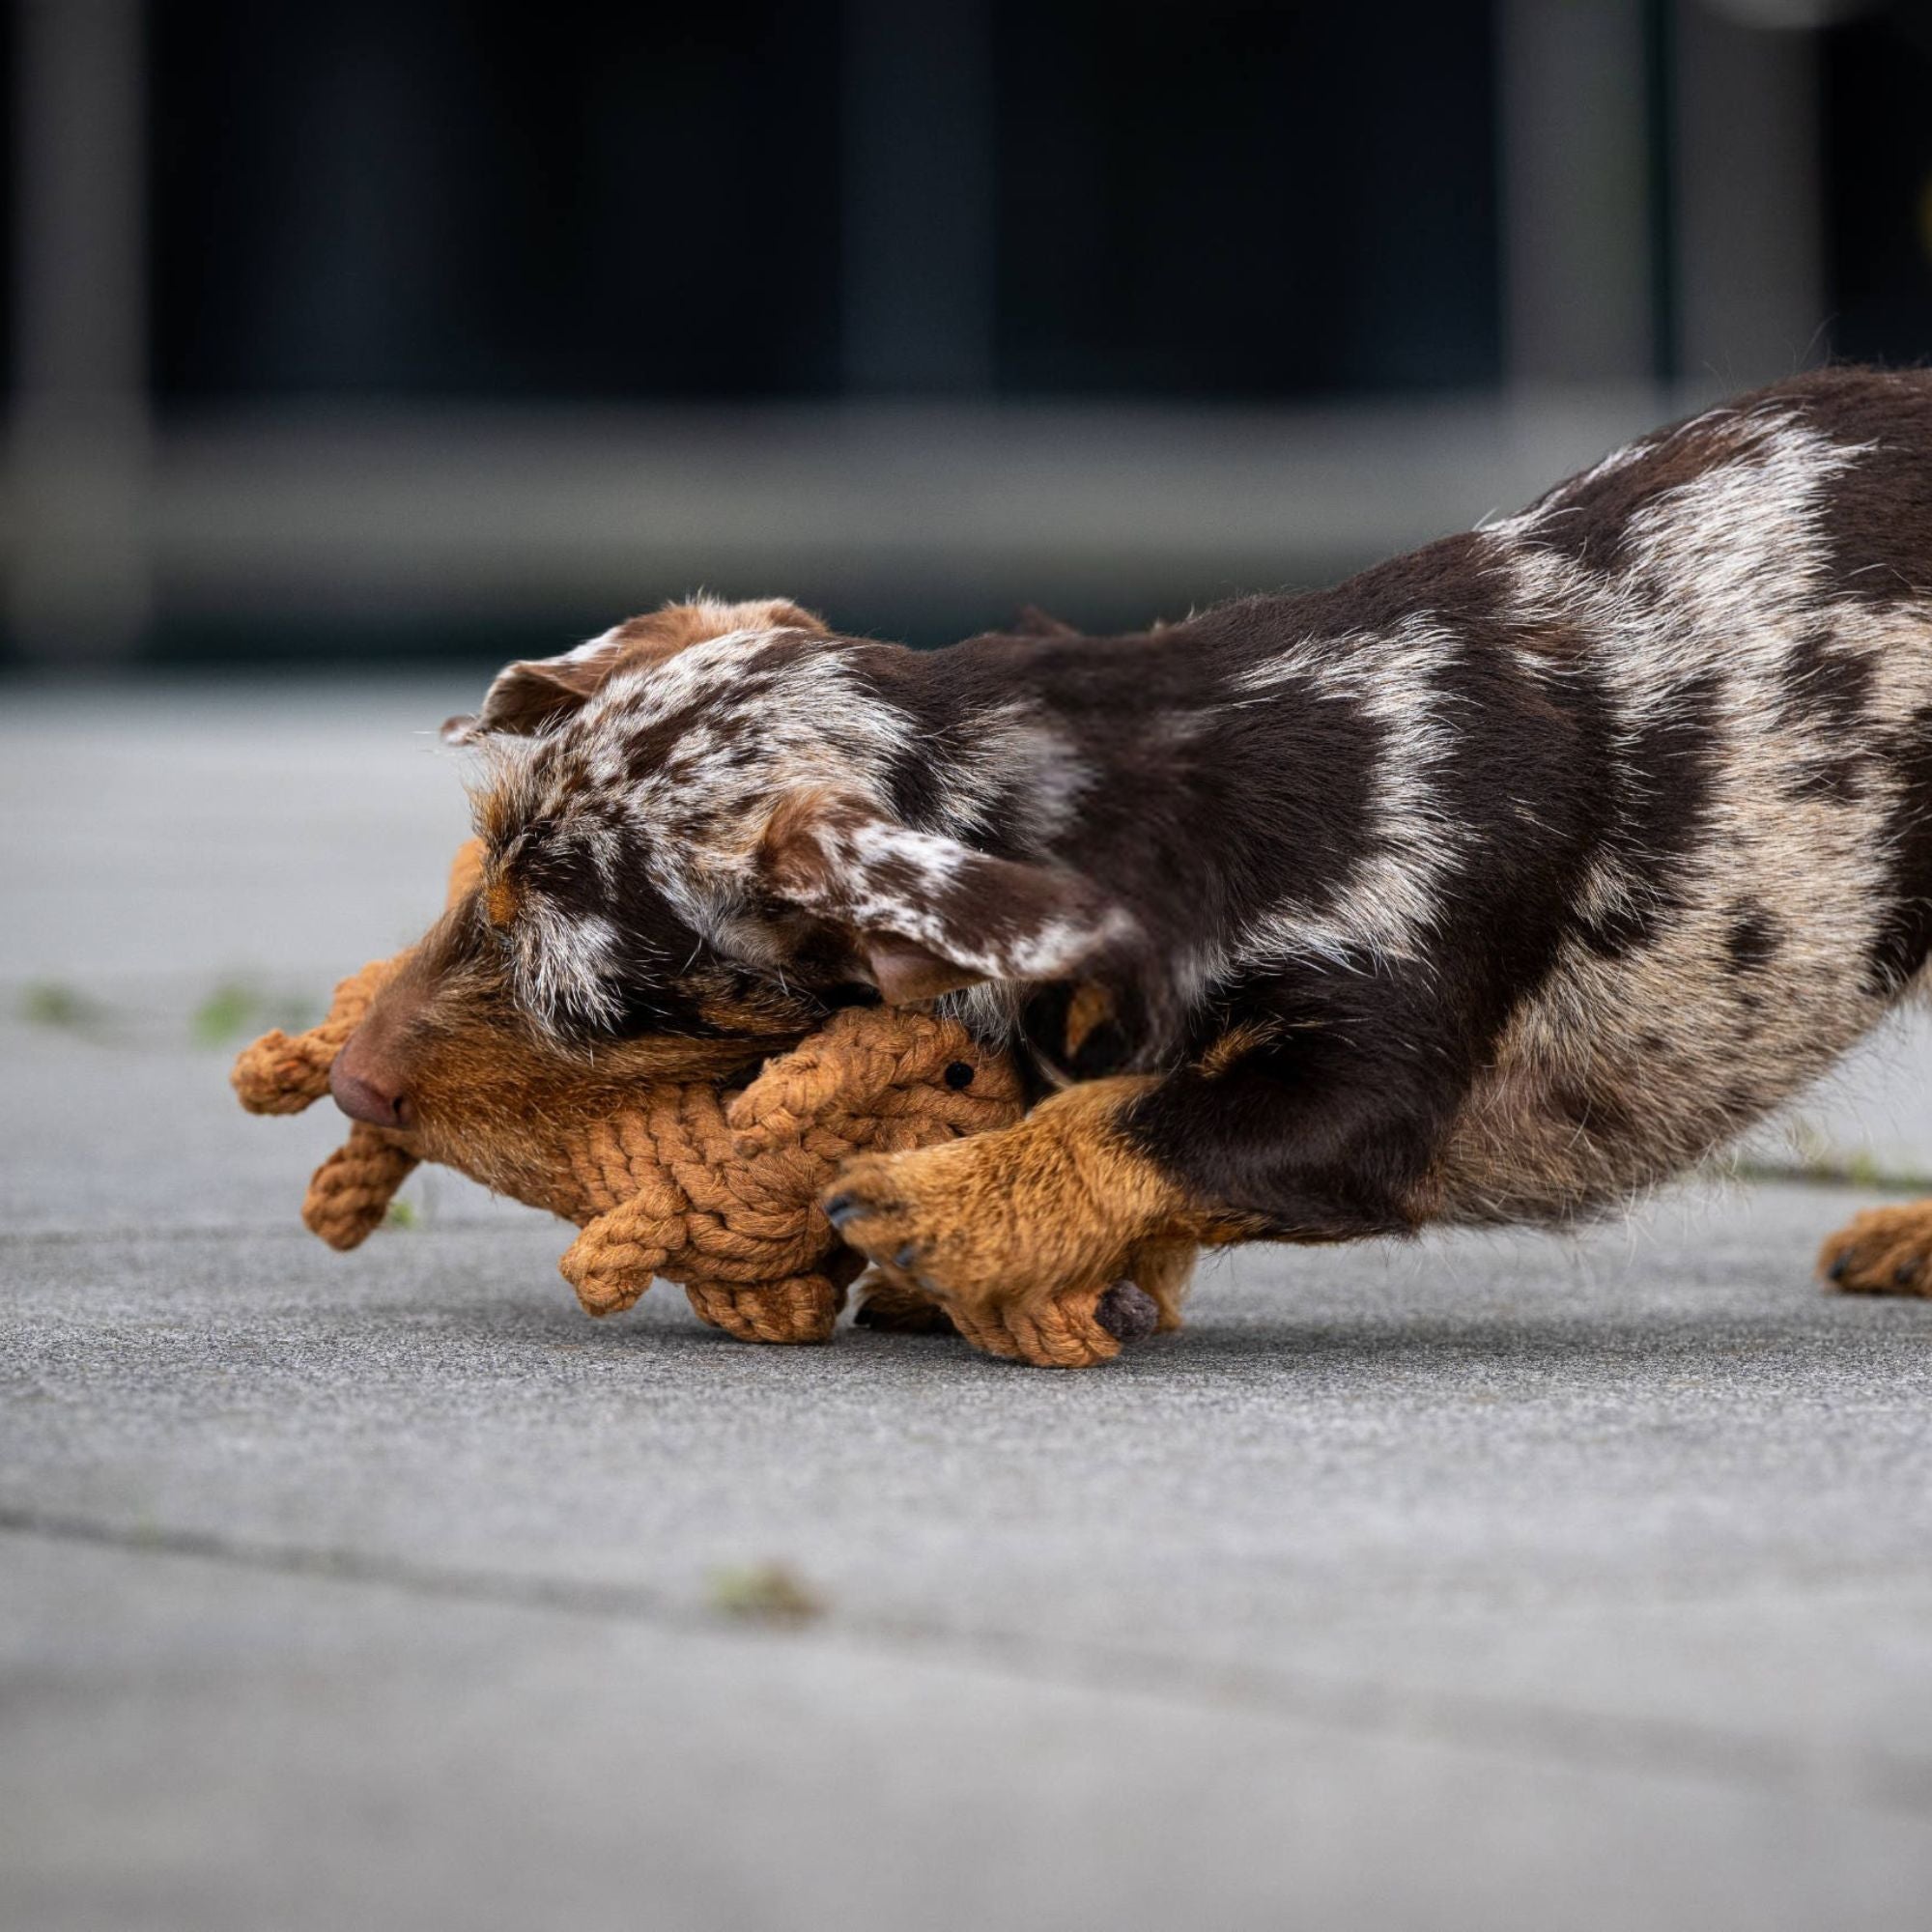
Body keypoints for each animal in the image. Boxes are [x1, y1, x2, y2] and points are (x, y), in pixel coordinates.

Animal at [344, 365, 1932, 1360]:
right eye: (474, 891)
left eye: (573, 992)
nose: (349, 1079)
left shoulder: (1364, 1092)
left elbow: (1139, 1119)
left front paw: (950, 1208)